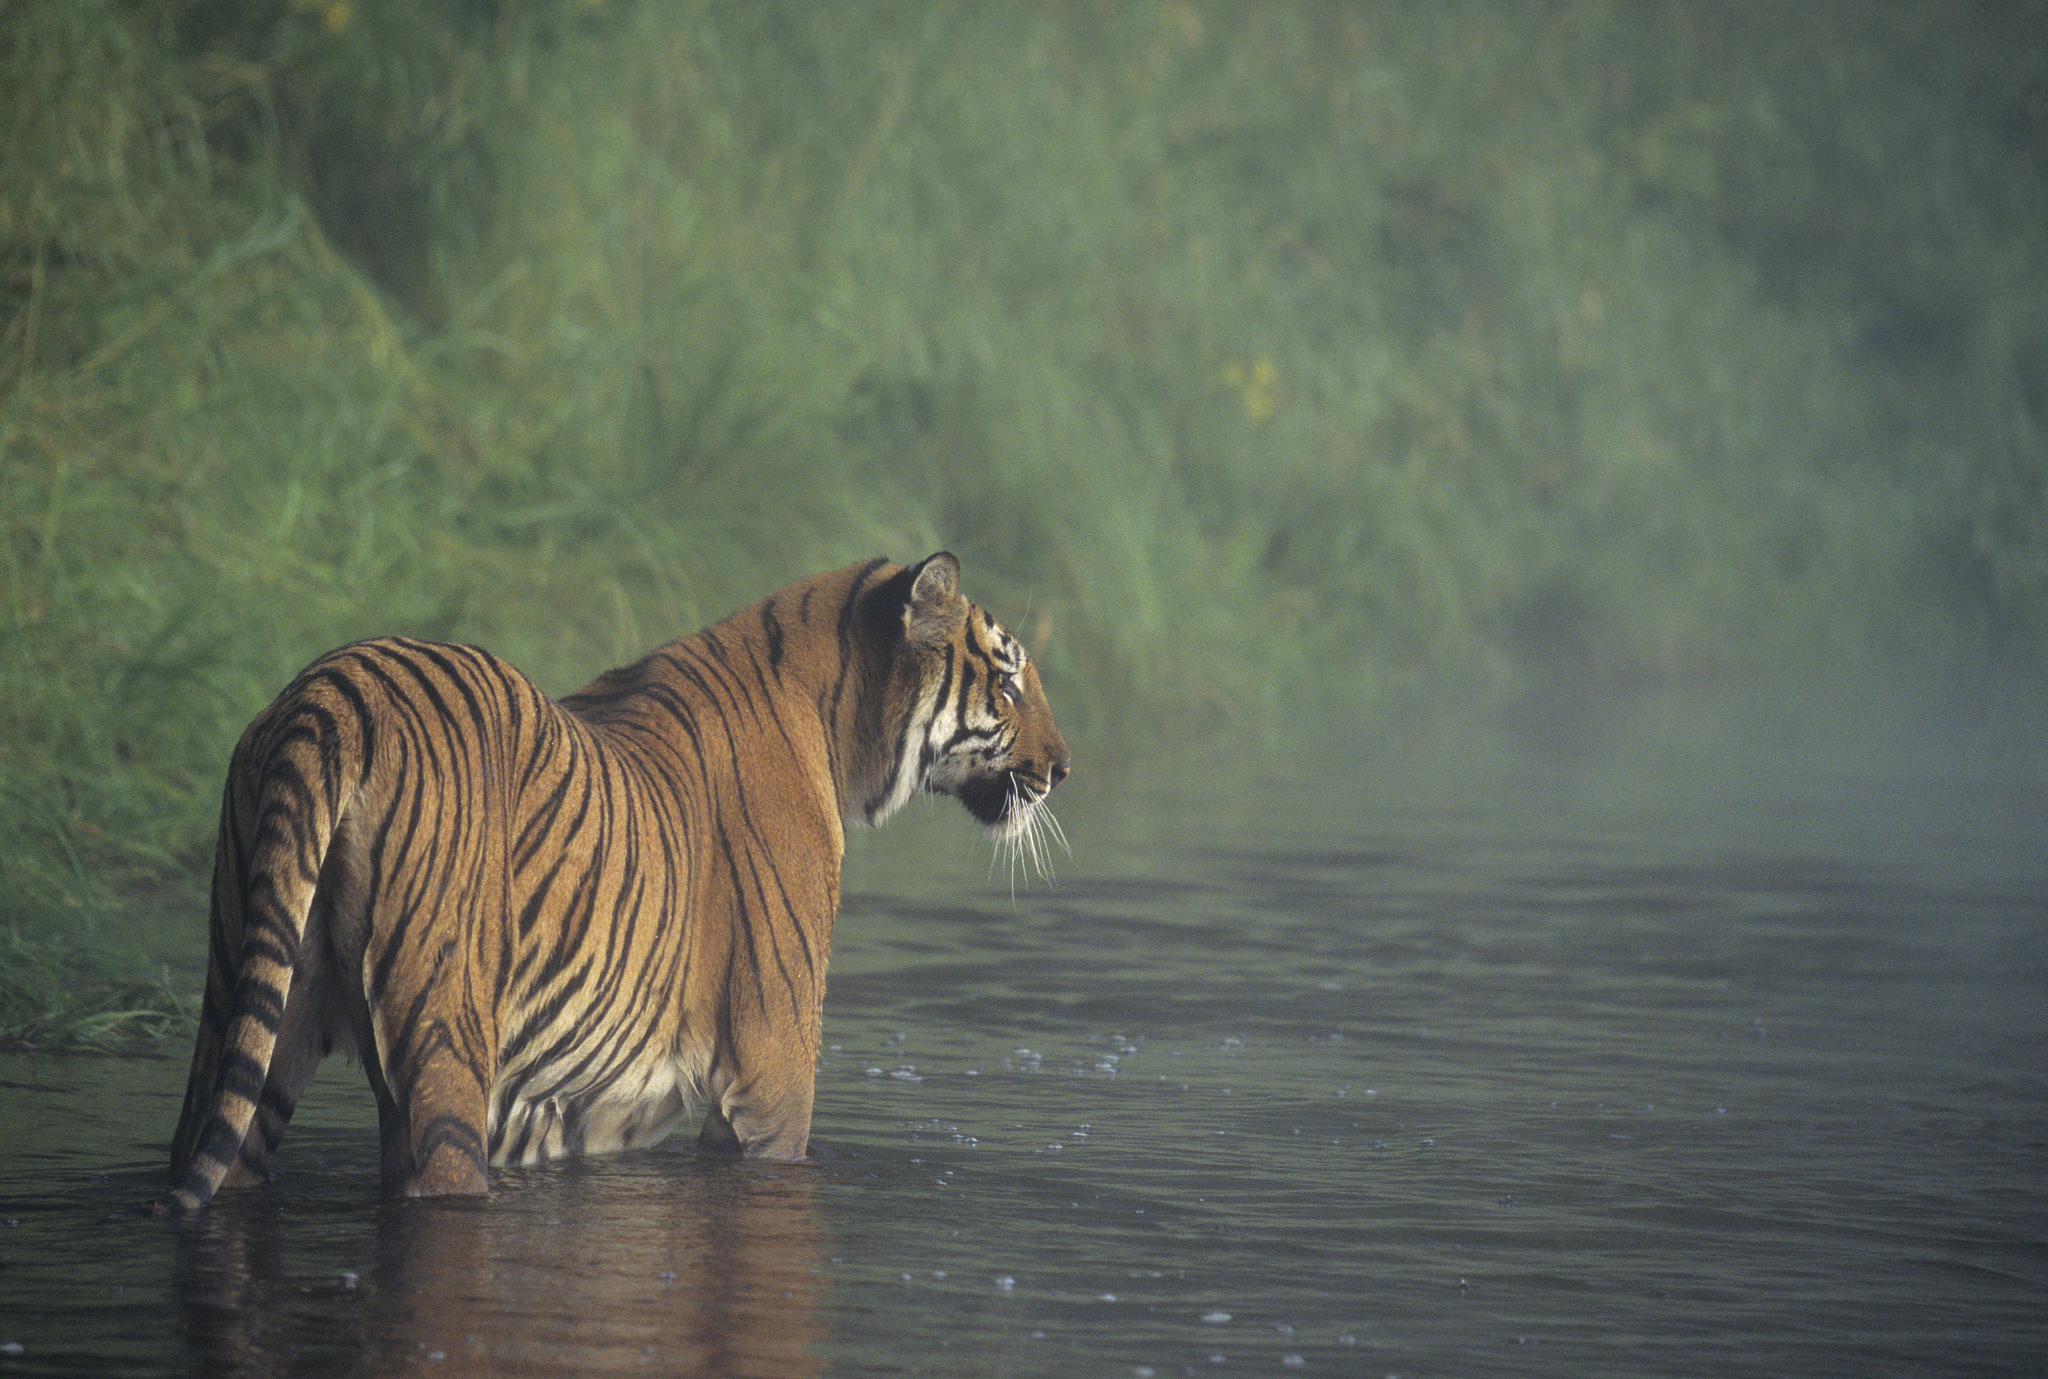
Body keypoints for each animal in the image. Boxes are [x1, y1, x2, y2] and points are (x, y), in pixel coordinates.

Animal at [151, 553, 1073, 1213]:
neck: (838, 724)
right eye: (1007, 680)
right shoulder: (775, 1070)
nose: (1064, 768)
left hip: (248, 1007)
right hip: (442, 1035)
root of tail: (328, 692)